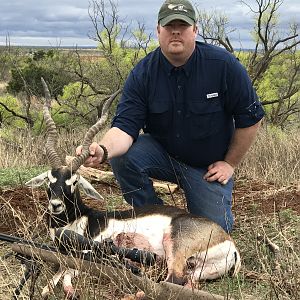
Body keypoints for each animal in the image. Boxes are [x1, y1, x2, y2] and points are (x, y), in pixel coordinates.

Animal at [25, 77, 241, 298]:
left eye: (74, 181)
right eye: (49, 179)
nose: (55, 205)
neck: (79, 219)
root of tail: (230, 243)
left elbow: (65, 271)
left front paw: (56, 289)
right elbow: (60, 272)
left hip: (174, 247)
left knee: (172, 281)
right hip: (197, 270)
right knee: (185, 284)